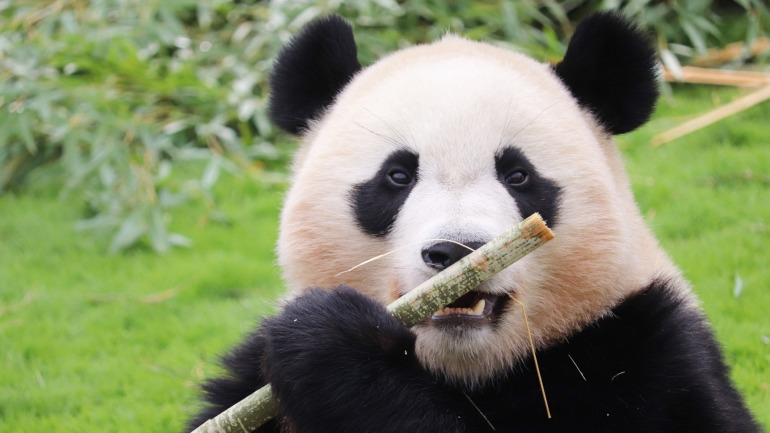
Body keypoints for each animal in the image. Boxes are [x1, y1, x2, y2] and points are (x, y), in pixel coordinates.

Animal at [183, 11, 760, 430]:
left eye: (519, 175)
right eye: (397, 176)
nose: (455, 251)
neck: (470, 372)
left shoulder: (650, 349)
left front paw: (335, 345)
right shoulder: (248, 388)